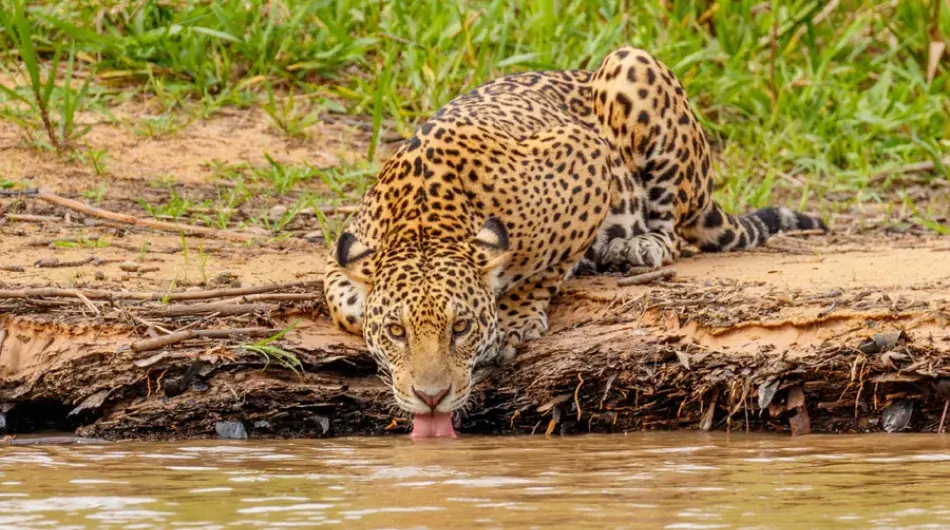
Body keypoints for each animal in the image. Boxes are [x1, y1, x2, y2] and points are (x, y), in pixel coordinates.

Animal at [322, 46, 826, 438]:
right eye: (396, 332)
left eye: (460, 327)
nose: (431, 397)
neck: (425, 223)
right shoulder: (346, 252)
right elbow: (344, 305)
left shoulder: (583, 156)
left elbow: (546, 266)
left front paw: (515, 321)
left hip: (632, 66)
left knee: (670, 228)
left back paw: (636, 246)